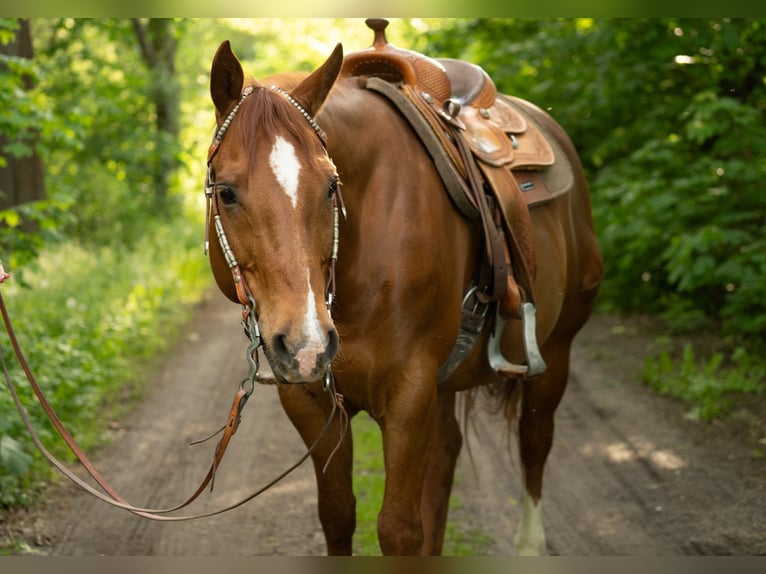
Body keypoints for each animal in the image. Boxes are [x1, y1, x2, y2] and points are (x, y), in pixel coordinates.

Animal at [204, 25, 603, 555]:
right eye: (226, 193)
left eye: (331, 186)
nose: (307, 344)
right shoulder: (311, 399)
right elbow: (338, 514)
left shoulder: (409, 395)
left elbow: (398, 530)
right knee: (448, 452)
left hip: (555, 353)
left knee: (534, 442)